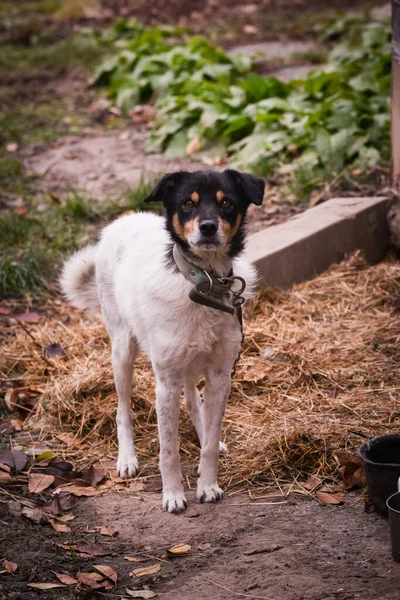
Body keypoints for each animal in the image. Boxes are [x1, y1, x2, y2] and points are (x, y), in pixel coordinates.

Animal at [61, 169, 264, 510]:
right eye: (187, 204)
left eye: (226, 203)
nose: (207, 227)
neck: (203, 284)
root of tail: (123, 221)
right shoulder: (166, 382)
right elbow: (168, 449)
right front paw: (173, 495)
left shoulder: (221, 375)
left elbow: (209, 441)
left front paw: (208, 484)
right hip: (123, 351)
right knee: (122, 409)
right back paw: (127, 459)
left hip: (189, 364)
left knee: (194, 401)